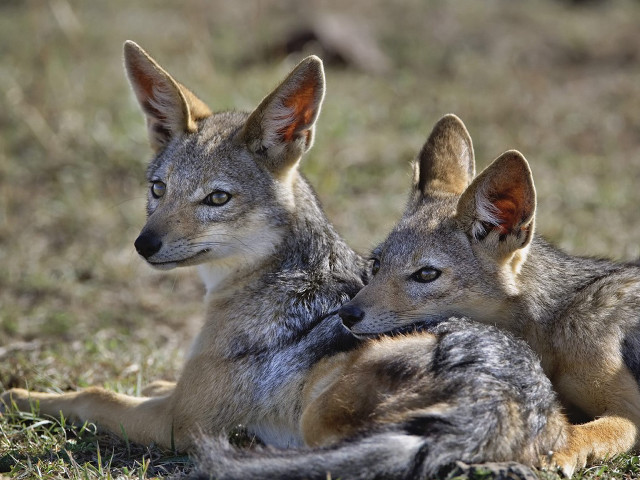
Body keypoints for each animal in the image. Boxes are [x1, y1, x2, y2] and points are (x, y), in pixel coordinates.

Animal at [337, 113, 640, 476]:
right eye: (377, 264)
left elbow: (583, 432)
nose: (346, 315)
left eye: (426, 274)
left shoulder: (628, 411)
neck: (554, 327)